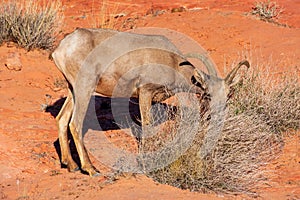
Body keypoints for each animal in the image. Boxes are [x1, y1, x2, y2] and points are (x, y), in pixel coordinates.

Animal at [52, 28, 251, 177]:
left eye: (228, 95)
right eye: (207, 94)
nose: (216, 117)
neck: (171, 61)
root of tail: (62, 47)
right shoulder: (145, 93)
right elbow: (147, 127)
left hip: (72, 89)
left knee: (62, 119)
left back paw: (71, 165)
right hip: (84, 88)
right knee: (75, 124)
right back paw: (91, 169)